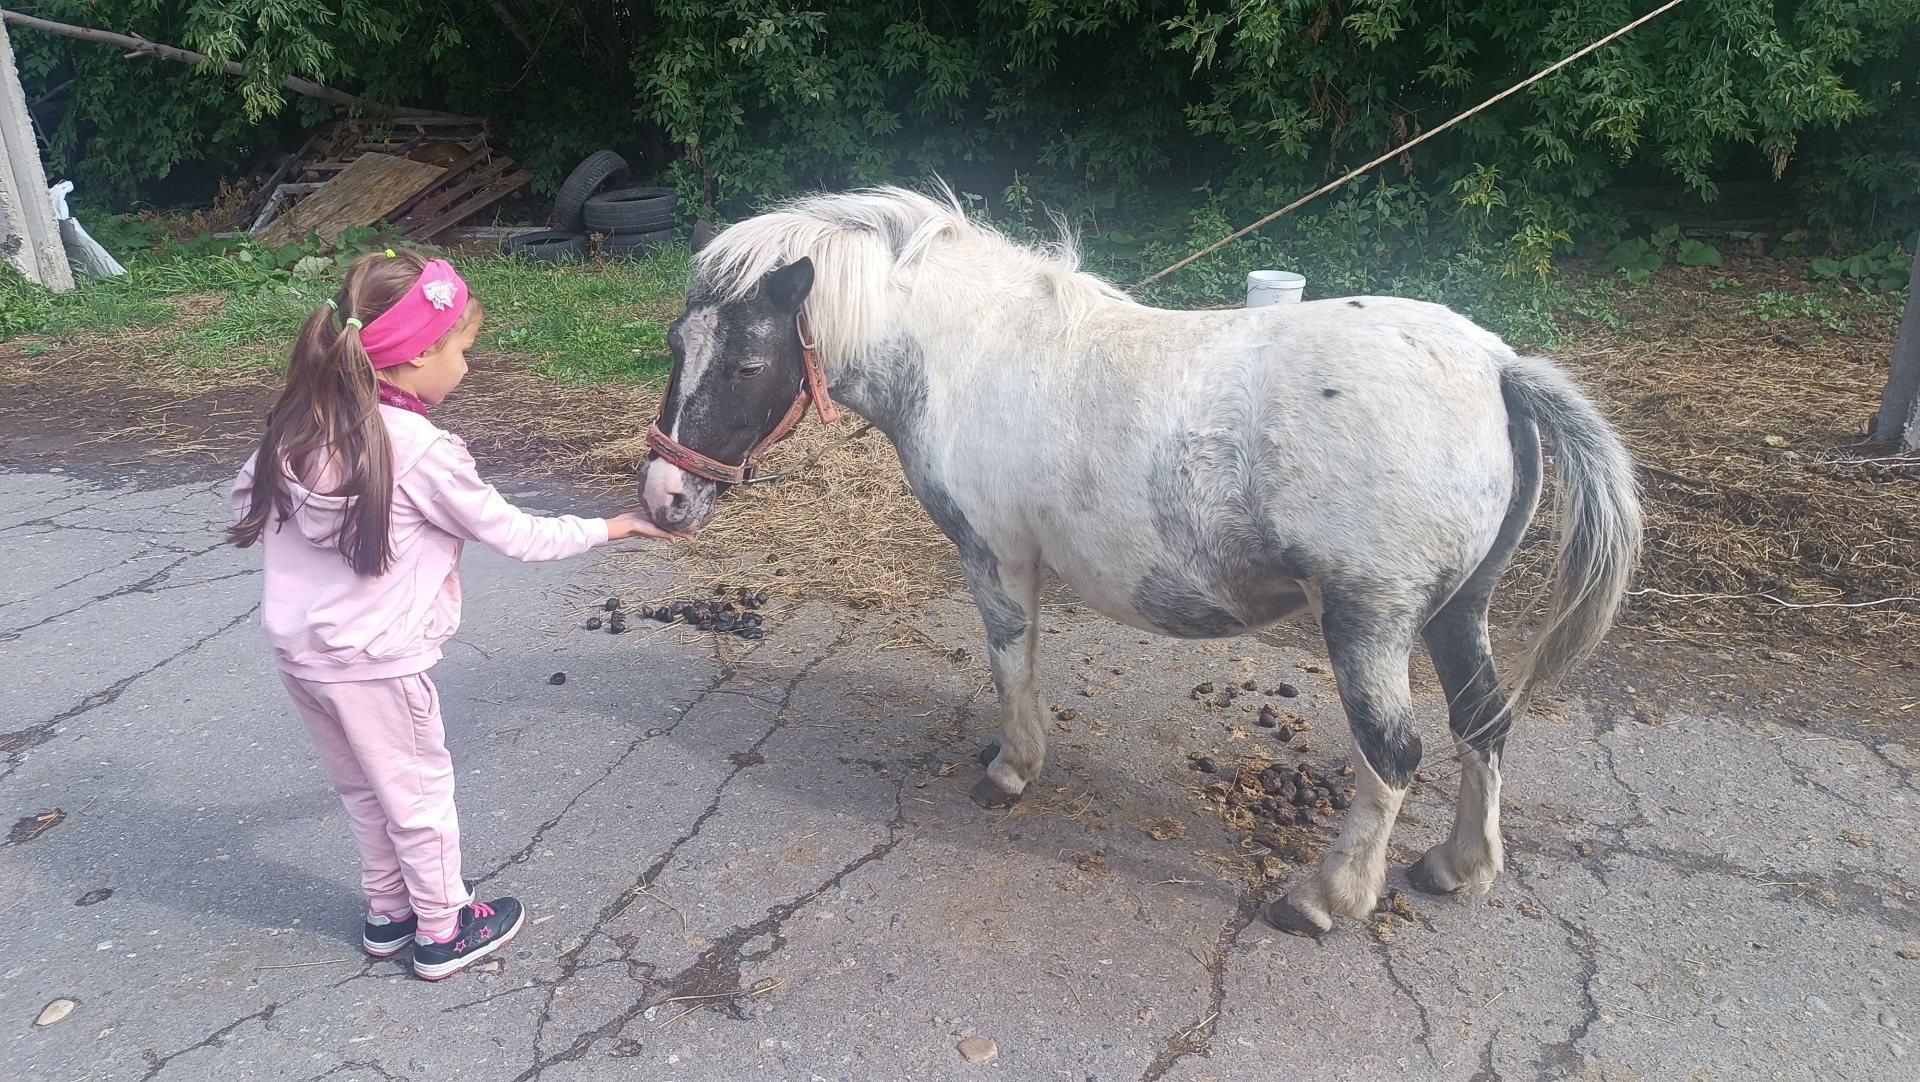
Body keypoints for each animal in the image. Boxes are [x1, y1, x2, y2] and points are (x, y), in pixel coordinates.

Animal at [641, 188, 1635, 940]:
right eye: (676, 345)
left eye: (749, 362)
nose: (663, 498)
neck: (972, 352)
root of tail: (1498, 367)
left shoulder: (994, 556)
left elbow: (1009, 660)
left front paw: (1012, 769)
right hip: (1456, 609)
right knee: (1484, 724)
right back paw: (1460, 866)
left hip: (1370, 621)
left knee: (1394, 754)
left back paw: (1326, 899)